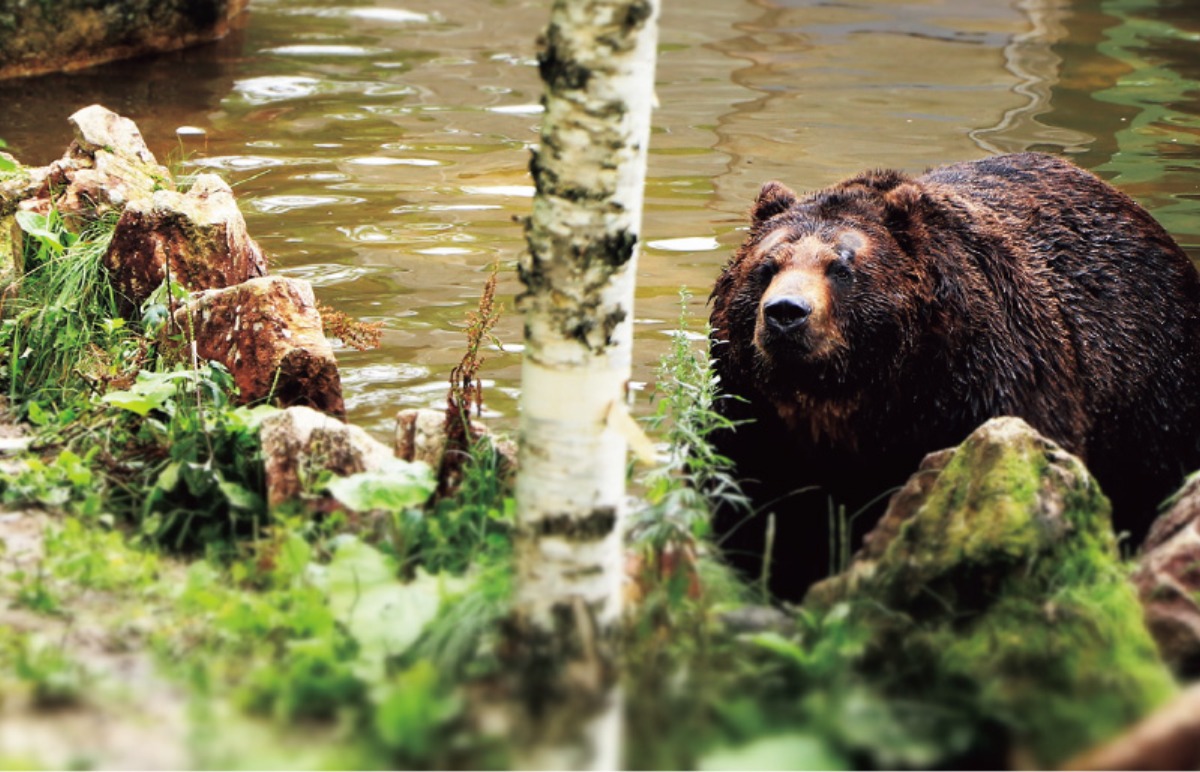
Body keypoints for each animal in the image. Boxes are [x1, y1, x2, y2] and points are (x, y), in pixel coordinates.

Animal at [705, 149, 1200, 597]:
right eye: (767, 265)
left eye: (841, 267)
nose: (786, 312)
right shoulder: (759, 416)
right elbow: (758, 508)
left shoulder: (983, 386)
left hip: (1151, 396)